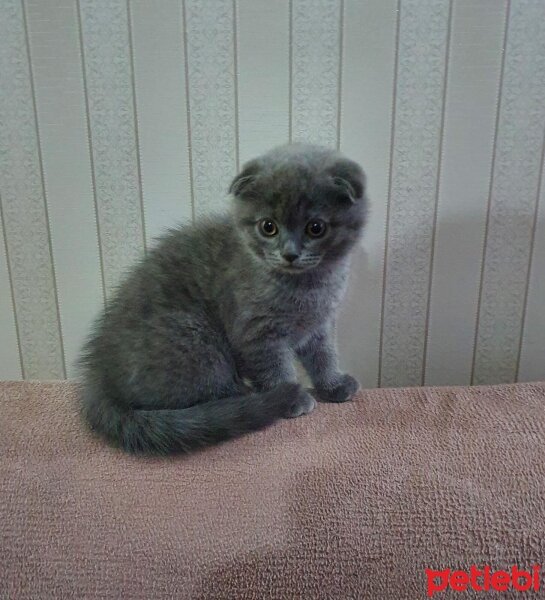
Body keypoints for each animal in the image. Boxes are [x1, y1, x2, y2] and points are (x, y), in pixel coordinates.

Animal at [78, 144, 368, 454]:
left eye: (316, 227)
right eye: (268, 226)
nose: (289, 254)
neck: (309, 287)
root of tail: (99, 376)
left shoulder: (320, 325)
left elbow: (324, 355)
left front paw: (333, 385)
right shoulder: (256, 332)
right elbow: (274, 367)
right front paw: (293, 396)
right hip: (197, 341)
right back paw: (248, 397)